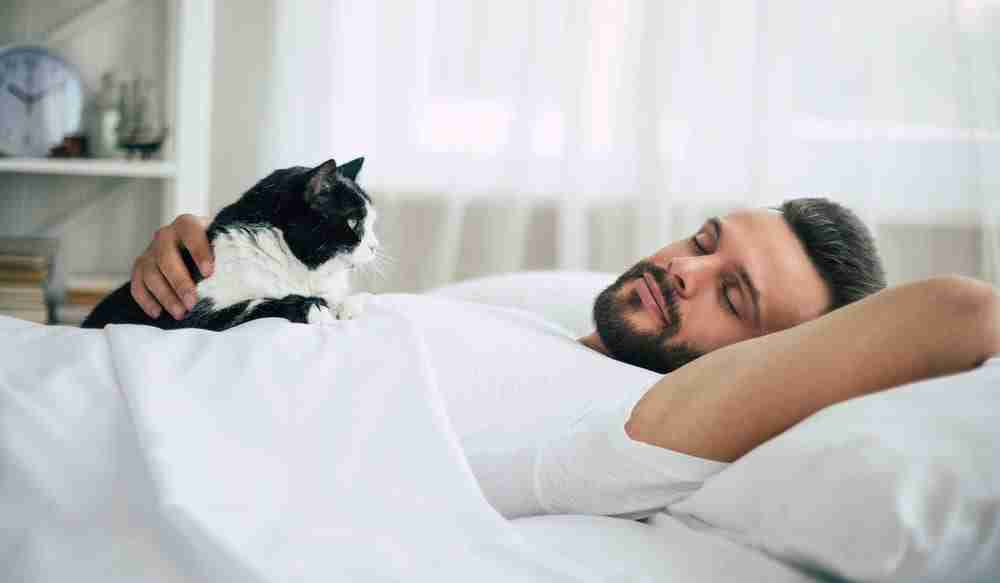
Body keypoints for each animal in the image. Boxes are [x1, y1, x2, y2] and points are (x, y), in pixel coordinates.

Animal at [81, 157, 378, 330]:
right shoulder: (186, 314)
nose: (375, 247)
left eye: (372, 221)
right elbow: (252, 304)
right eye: (353, 222)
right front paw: (311, 307)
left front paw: (348, 305)